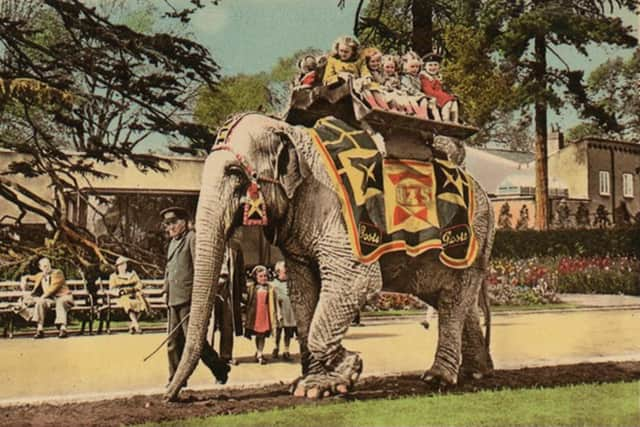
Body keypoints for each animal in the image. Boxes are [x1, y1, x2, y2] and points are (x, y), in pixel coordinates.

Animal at [166, 113, 496, 402]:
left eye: (234, 174)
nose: (172, 397)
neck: (293, 135)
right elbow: (301, 292)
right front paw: (311, 386)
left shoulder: (334, 213)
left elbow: (355, 280)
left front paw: (348, 370)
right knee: (452, 299)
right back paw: (477, 373)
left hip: (473, 239)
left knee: (452, 302)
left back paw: (439, 378)